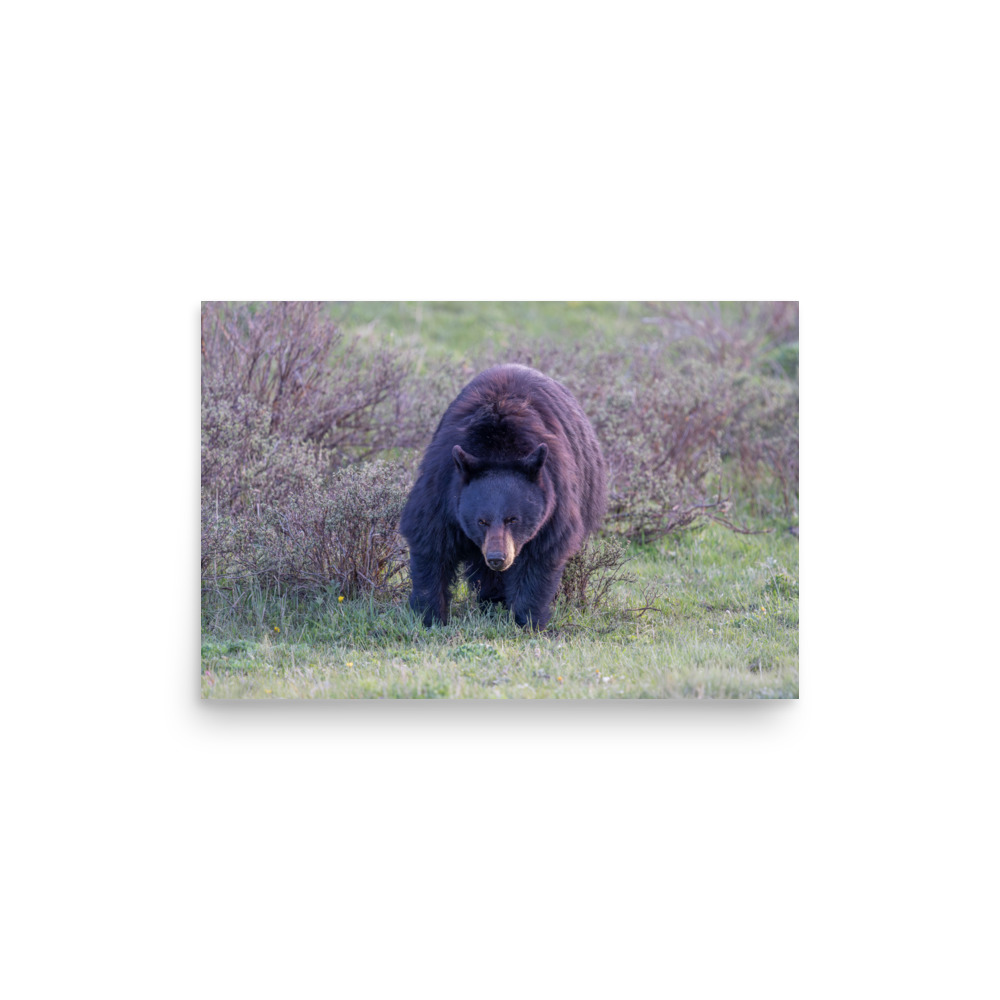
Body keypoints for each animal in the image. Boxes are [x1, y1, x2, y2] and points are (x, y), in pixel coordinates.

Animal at [399, 364, 607, 629]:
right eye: (481, 521)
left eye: (513, 519)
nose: (498, 558)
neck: (498, 449)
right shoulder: (443, 486)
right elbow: (431, 542)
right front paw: (430, 616)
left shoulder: (555, 496)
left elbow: (540, 555)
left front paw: (528, 620)